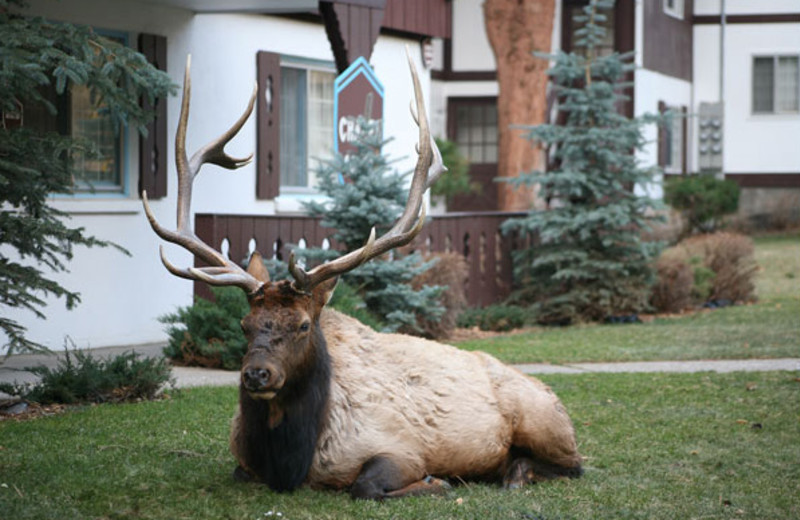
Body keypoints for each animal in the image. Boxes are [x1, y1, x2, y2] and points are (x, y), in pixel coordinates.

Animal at [144, 52, 580, 500]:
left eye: (303, 325)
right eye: (245, 324)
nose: (257, 373)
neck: (290, 462)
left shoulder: (398, 445)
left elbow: (366, 485)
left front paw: (435, 480)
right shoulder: (244, 462)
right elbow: (238, 472)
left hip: (545, 423)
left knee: (572, 464)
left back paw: (516, 473)